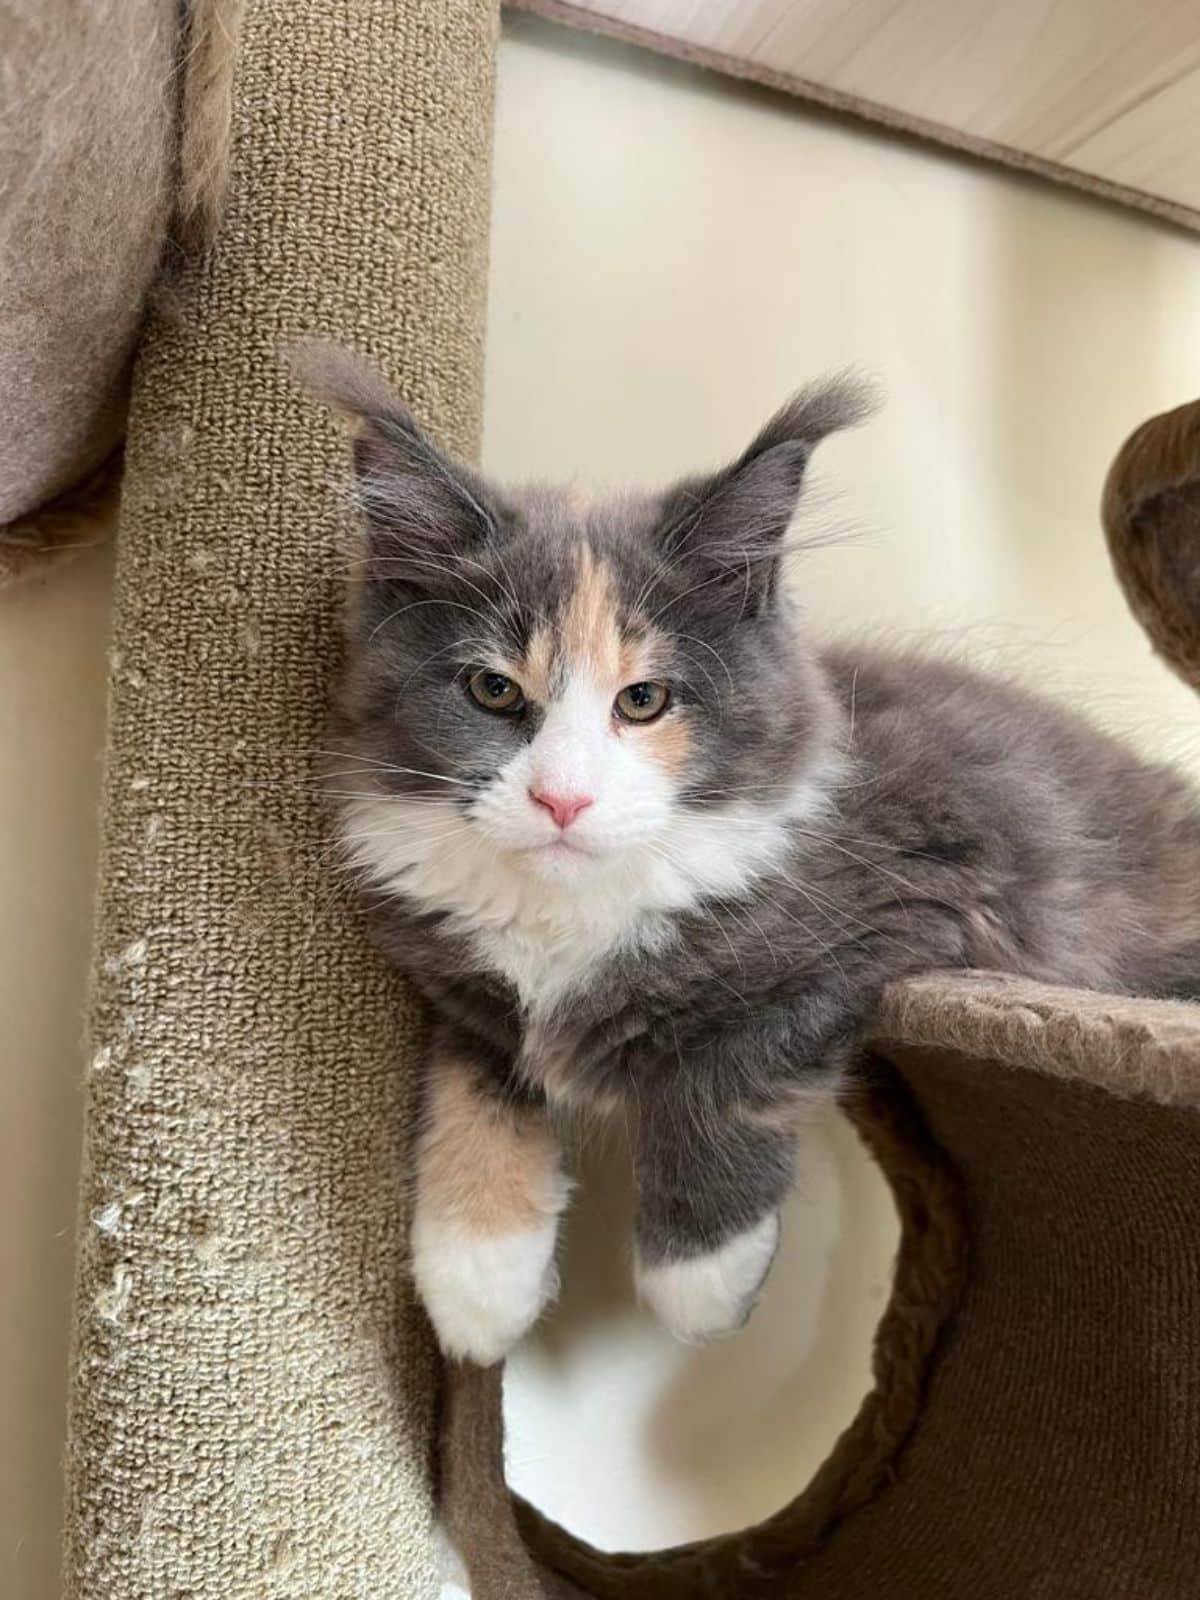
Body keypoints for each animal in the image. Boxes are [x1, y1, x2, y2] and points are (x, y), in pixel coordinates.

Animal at [294, 344, 1200, 1369]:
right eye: (493, 691)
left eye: (644, 701)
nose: (563, 799)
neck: (571, 918)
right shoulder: (467, 992)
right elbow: (471, 1093)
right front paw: (478, 1282)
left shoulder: (899, 907)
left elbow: (726, 1076)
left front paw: (701, 1284)